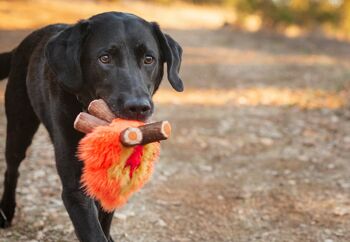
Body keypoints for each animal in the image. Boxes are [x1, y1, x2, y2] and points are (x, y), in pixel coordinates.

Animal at [0, 11, 183, 242]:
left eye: (149, 59)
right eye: (105, 58)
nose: (139, 107)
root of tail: (19, 47)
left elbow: (104, 214)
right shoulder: (74, 188)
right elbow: (92, 230)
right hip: (19, 126)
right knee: (12, 169)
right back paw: (6, 212)